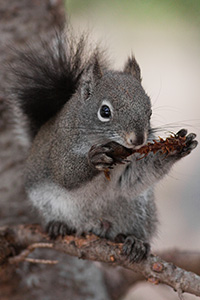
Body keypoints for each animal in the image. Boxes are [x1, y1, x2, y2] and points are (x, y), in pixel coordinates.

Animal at [8, 29, 198, 262]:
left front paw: (177, 147)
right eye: (105, 112)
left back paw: (134, 242)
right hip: (49, 204)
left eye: (150, 111)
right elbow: (65, 173)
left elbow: (136, 178)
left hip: (138, 210)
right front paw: (94, 159)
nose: (138, 140)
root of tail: (94, 226)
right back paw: (58, 226)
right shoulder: (60, 145)